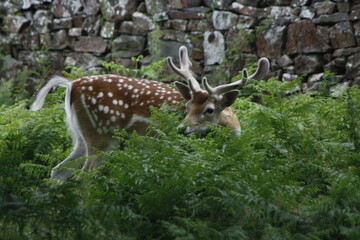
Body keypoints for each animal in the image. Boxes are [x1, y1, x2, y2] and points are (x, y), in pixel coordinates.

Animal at [31, 46, 268, 180]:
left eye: (209, 110)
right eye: (187, 108)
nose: (181, 128)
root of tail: (71, 85)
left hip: (80, 137)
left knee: (58, 171)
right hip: (101, 136)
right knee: (85, 177)